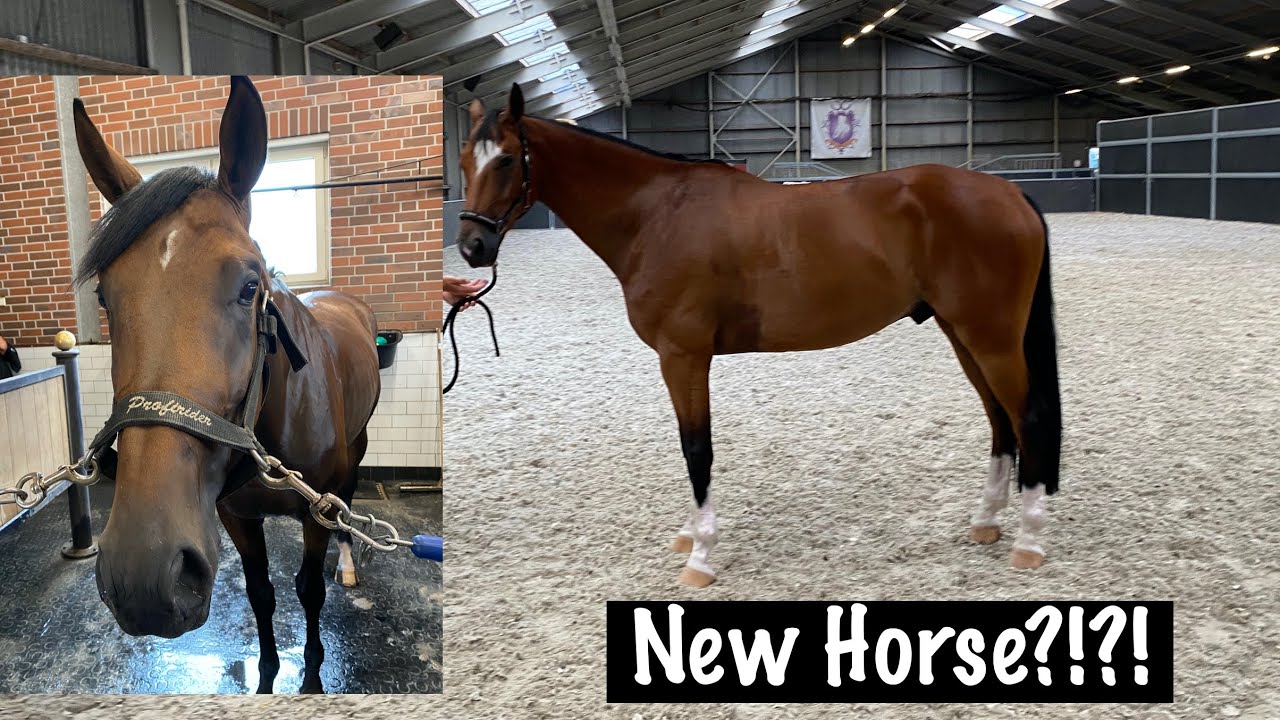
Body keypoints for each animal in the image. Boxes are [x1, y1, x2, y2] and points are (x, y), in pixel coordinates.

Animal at [71, 76, 381, 692]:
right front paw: (267, 674)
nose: (143, 576)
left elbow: (308, 590)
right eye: (104, 298)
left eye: (250, 286)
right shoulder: (235, 516)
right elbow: (261, 593)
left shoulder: (313, 513)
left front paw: (312, 676)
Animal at [455, 84, 1061, 588]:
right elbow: (691, 447)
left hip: (991, 337)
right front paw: (690, 536)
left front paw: (702, 556)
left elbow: (696, 448)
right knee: (999, 420)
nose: (471, 248)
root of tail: (1010, 193)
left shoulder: (683, 355)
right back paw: (986, 521)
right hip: (964, 334)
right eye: (462, 161)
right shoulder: (683, 359)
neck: (657, 215)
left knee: (1026, 417)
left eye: (506, 160)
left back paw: (1030, 542)